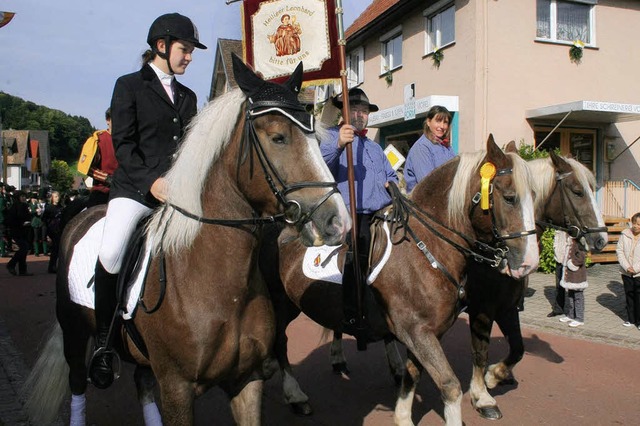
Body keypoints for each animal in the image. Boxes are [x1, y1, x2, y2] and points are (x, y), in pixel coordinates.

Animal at [22, 56, 350, 426]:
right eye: (278, 137)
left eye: (315, 138)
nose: (337, 221)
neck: (218, 284)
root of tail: (81, 215)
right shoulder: (177, 387)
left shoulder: (246, 380)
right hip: (75, 333)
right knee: (78, 382)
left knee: (141, 382)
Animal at [260, 135, 540, 424]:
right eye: (509, 198)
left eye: (534, 196)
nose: (530, 262)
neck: (425, 248)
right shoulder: (420, 331)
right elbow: (450, 385)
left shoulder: (425, 332)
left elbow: (412, 374)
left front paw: (402, 416)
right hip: (281, 304)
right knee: (280, 343)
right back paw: (295, 395)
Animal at [464, 149, 604, 420]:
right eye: (577, 191)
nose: (602, 238)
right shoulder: (482, 310)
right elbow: (479, 351)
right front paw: (482, 396)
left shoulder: (508, 308)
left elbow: (518, 347)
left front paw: (496, 375)